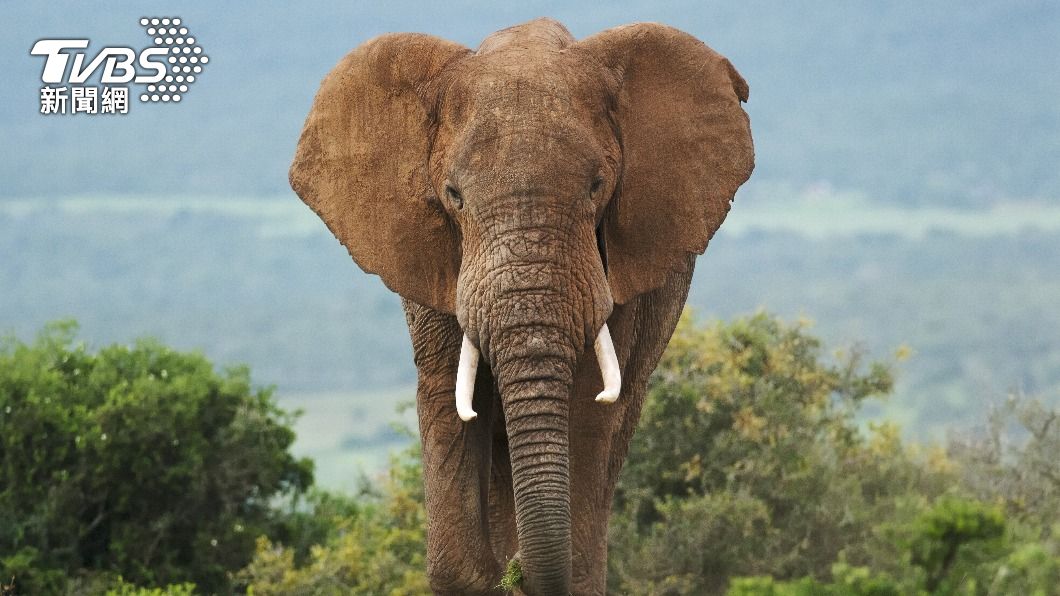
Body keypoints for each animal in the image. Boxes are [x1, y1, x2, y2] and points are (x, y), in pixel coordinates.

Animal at [290, 18, 753, 596]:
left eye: (597, 187)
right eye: (453, 195)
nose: (521, 573)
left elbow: (587, 405)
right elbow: (447, 395)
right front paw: (490, 574)